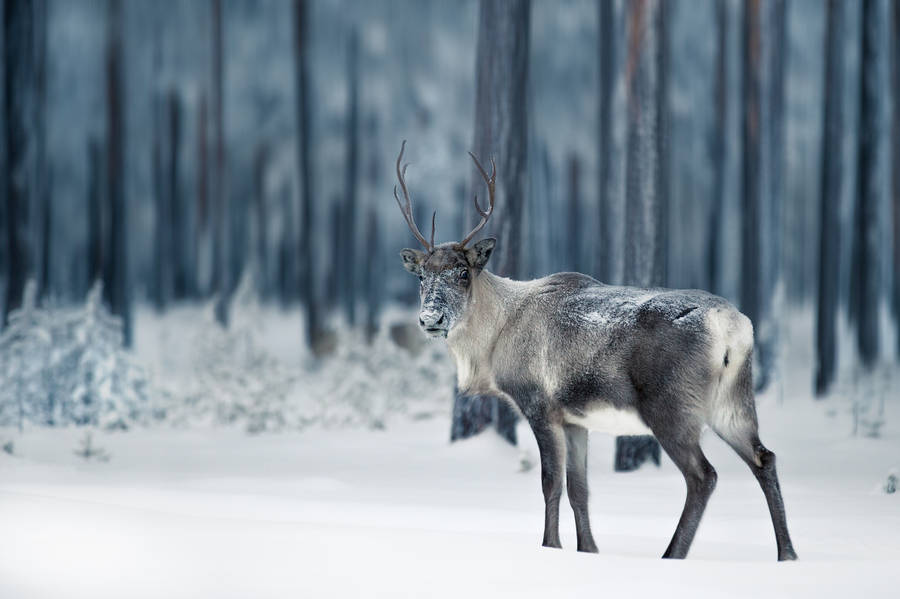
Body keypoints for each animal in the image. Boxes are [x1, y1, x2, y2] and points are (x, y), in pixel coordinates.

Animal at [392, 141, 797, 561]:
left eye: (462, 272)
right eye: (421, 276)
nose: (430, 317)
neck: (494, 341)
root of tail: (732, 327)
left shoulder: (539, 405)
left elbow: (550, 483)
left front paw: (550, 545)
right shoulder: (576, 419)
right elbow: (580, 489)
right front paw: (588, 549)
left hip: (672, 406)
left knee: (704, 476)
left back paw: (672, 554)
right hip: (733, 401)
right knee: (765, 457)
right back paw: (787, 553)